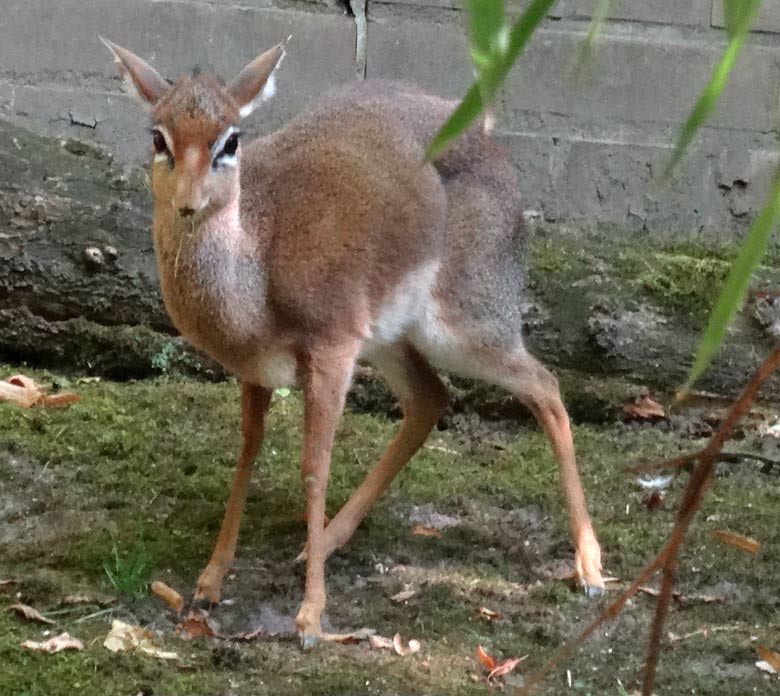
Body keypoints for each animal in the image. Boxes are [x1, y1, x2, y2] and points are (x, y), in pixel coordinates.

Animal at [102, 36, 604, 648]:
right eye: (159, 137)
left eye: (231, 139)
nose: (189, 203)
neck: (257, 263)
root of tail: (491, 141)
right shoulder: (256, 370)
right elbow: (247, 451)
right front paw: (209, 581)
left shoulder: (332, 348)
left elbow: (313, 465)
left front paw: (310, 618)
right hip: (391, 341)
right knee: (431, 400)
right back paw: (321, 543)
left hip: (465, 328)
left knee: (545, 387)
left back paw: (591, 571)